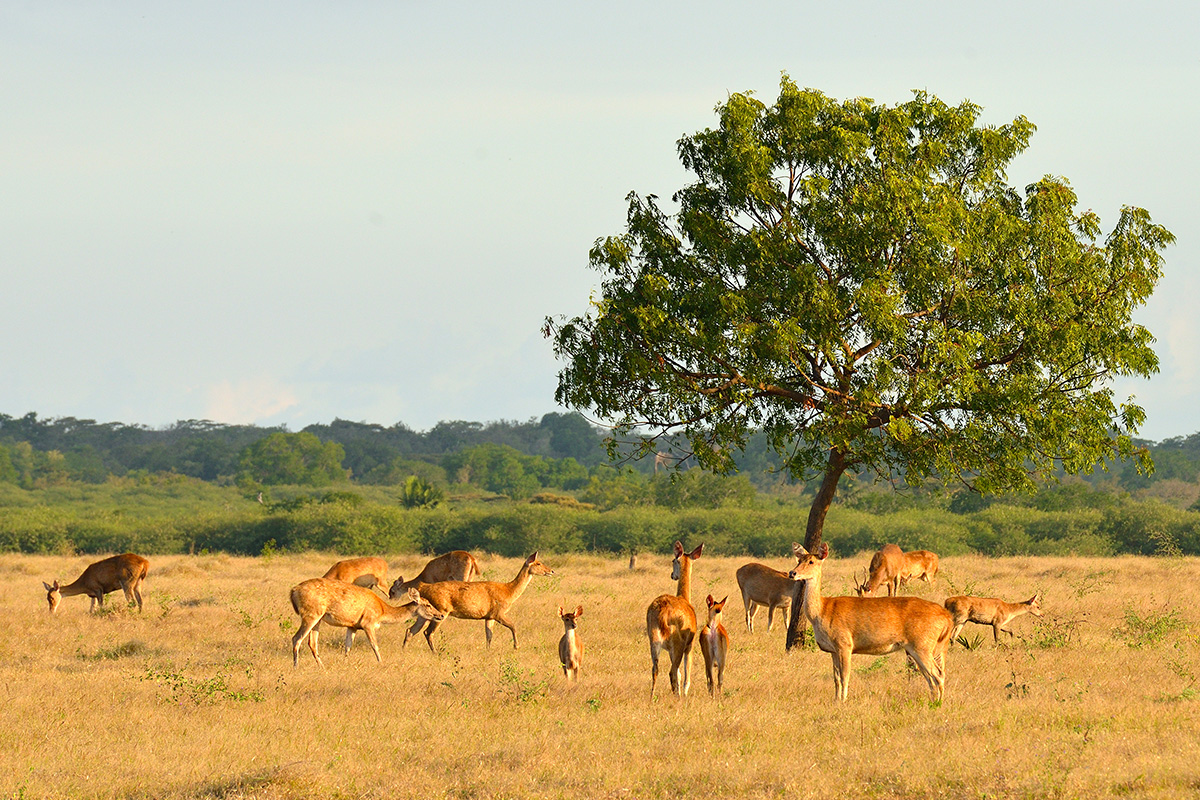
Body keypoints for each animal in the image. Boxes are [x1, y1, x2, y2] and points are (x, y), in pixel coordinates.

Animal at [290, 578, 446, 666]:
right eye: (427, 604)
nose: (441, 615)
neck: (382, 612)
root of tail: (293, 591)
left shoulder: (352, 626)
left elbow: (347, 647)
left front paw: (345, 663)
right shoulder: (368, 623)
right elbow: (374, 645)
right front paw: (381, 663)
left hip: (318, 618)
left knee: (312, 642)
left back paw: (321, 666)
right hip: (311, 613)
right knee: (296, 638)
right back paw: (296, 666)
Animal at [403, 554, 552, 652]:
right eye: (538, 563)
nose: (551, 571)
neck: (509, 592)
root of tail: (423, 588)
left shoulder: (489, 616)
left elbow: (489, 635)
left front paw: (488, 651)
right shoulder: (498, 612)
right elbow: (513, 626)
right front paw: (516, 646)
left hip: (425, 613)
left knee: (411, 630)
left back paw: (404, 649)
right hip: (441, 610)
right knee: (428, 632)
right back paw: (435, 652)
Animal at [648, 542, 700, 695]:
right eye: (673, 560)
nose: (672, 575)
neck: (685, 599)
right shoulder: (690, 644)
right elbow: (686, 676)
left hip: (653, 639)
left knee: (655, 669)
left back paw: (651, 696)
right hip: (678, 643)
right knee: (672, 672)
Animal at [787, 544, 955, 700]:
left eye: (811, 561)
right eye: (799, 560)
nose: (792, 573)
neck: (822, 611)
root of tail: (946, 617)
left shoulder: (844, 644)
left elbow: (845, 677)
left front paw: (843, 702)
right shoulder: (833, 650)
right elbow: (836, 679)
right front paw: (836, 701)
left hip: (922, 645)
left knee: (938, 674)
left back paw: (938, 704)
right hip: (920, 648)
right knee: (931, 677)